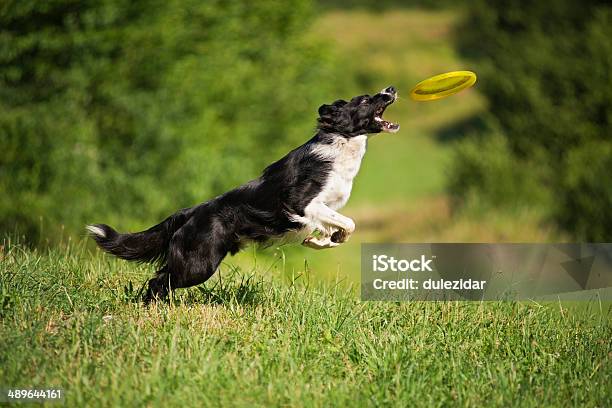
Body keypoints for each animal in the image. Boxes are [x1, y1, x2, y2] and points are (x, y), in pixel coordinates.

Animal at [88, 87, 400, 302]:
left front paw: (320, 241)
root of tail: (190, 212)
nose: (391, 89)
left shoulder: (328, 207)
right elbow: (349, 222)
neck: (341, 143)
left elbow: (338, 229)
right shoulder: (301, 203)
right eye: (364, 100)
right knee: (159, 280)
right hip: (199, 264)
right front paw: (325, 238)